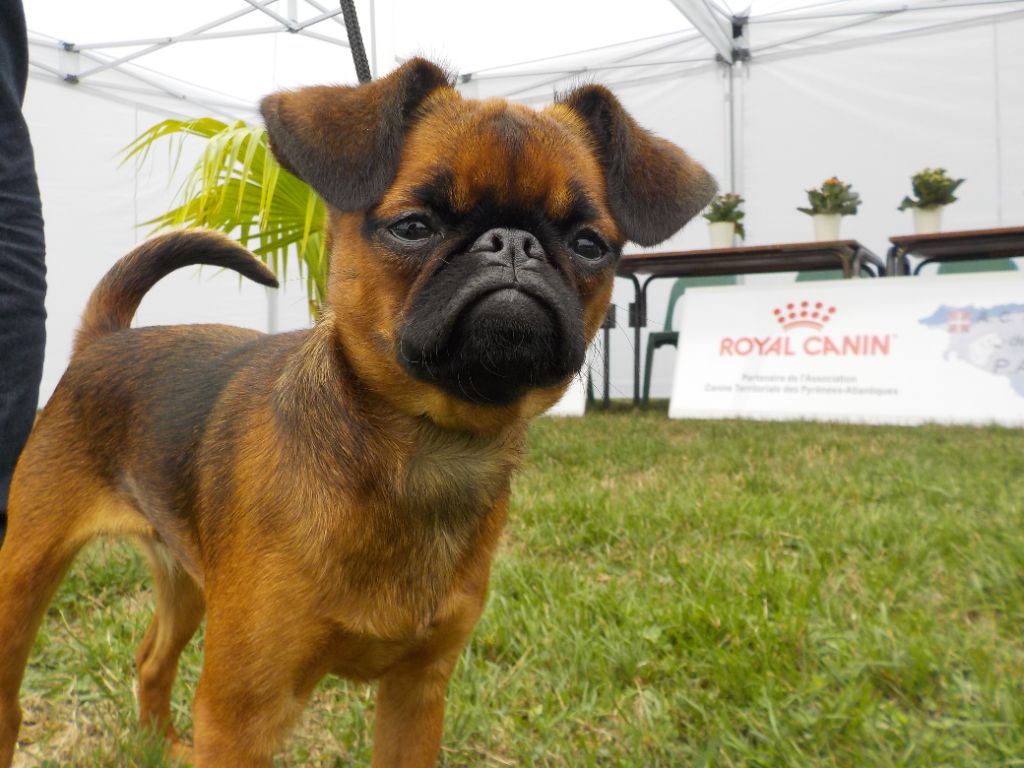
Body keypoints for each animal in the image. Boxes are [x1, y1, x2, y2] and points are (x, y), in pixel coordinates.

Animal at [0, 58, 714, 767]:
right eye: (413, 227)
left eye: (591, 244)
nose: (513, 243)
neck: (427, 448)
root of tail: (104, 339)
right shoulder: (240, 718)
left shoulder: (417, 693)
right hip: (23, 574)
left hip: (185, 577)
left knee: (150, 658)